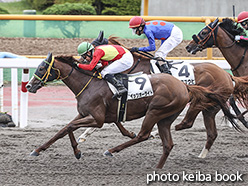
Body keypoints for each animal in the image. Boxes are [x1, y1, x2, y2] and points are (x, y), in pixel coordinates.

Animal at [25, 52, 236, 169]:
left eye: (42, 67)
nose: (28, 85)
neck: (89, 84)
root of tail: (184, 86)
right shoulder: (85, 114)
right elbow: (65, 129)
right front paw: (40, 150)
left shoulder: (97, 119)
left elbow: (69, 127)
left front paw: (75, 150)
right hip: (167, 117)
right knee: (170, 143)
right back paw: (158, 169)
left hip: (156, 111)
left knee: (144, 134)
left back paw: (111, 150)